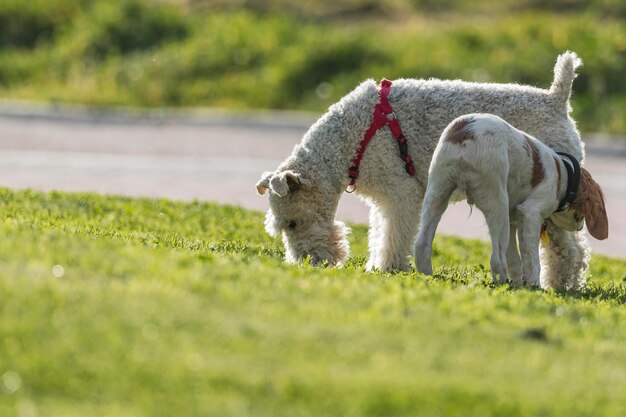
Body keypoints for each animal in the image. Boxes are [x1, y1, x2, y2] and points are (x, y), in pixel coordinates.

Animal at [256, 50, 588, 288]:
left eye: (293, 223)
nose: (307, 263)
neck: (350, 138)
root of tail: (557, 98)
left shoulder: (400, 192)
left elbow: (394, 235)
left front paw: (386, 268)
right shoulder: (384, 198)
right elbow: (381, 231)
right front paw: (377, 265)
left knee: (569, 250)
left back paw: (561, 285)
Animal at [412, 113, 608, 286]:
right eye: (580, 216)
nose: (580, 227)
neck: (564, 176)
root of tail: (467, 132)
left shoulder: (515, 219)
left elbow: (515, 258)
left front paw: (520, 285)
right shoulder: (530, 214)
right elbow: (531, 258)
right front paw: (534, 285)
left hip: (437, 191)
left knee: (422, 243)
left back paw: (426, 276)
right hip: (496, 203)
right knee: (496, 259)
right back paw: (501, 283)